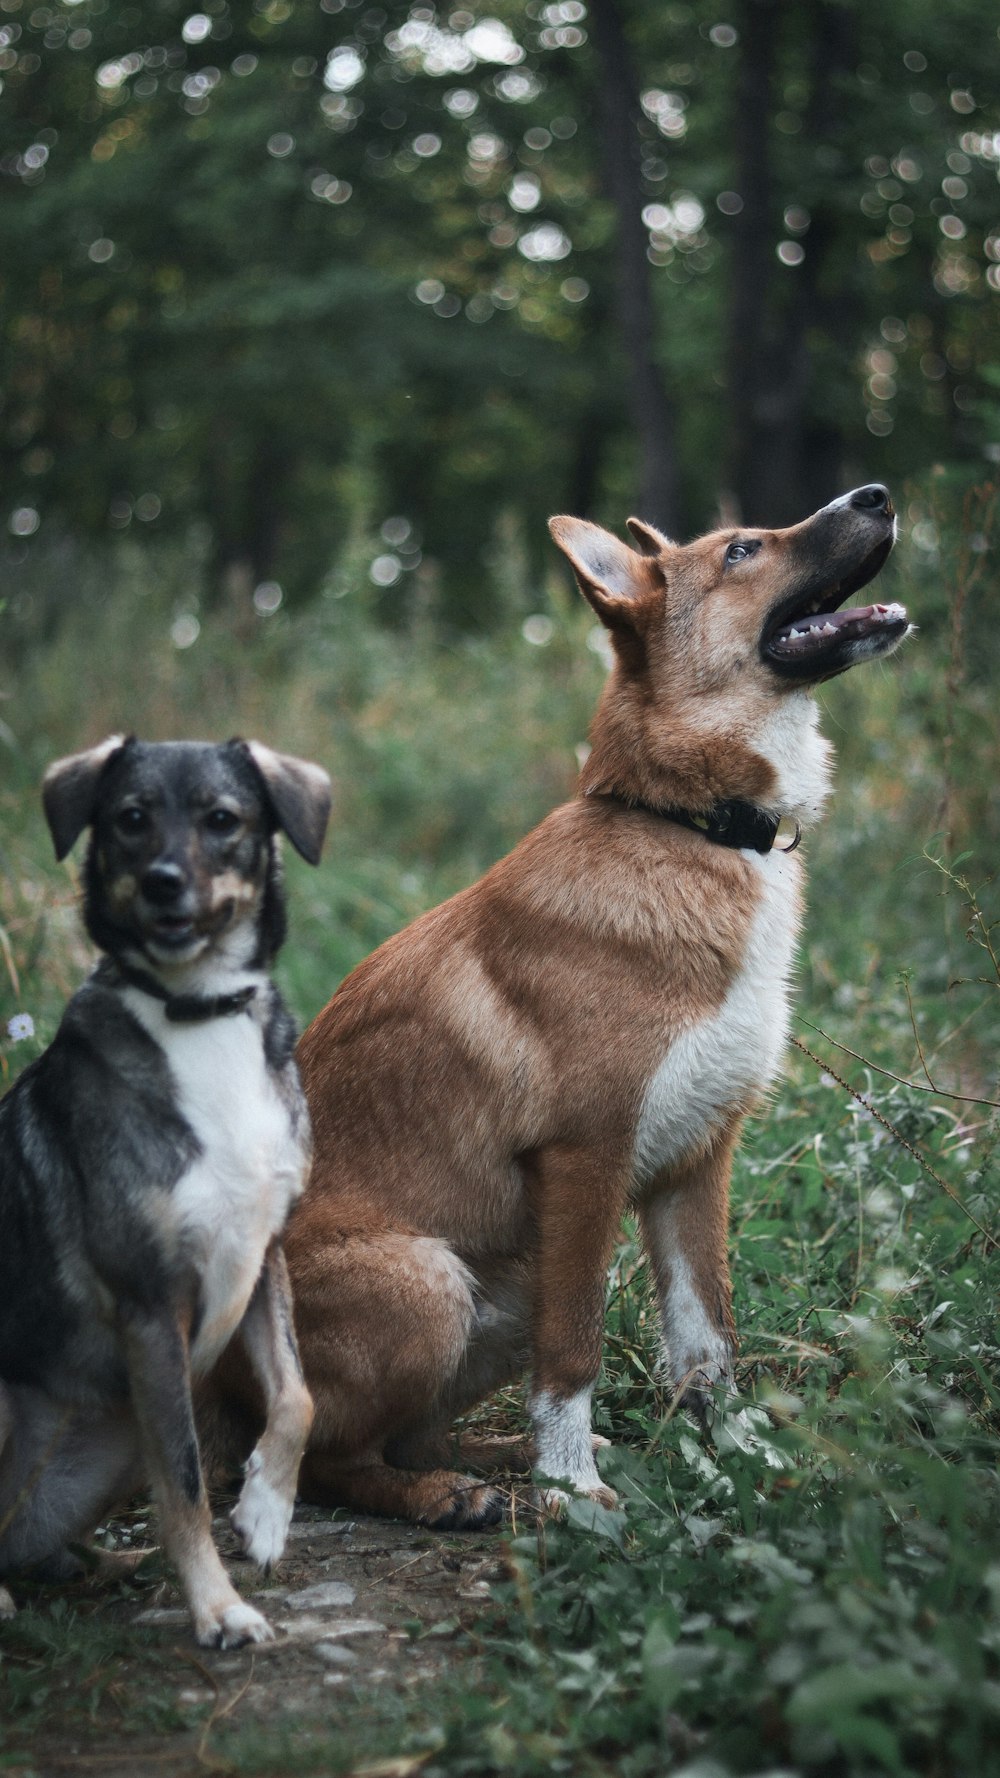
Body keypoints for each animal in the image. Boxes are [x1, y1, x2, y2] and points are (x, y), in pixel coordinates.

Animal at [1, 736, 332, 1649]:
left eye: (222, 819)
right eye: (130, 818)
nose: (162, 882)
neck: (200, 1013)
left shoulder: (261, 1255)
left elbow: (298, 1396)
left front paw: (265, 1513)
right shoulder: (152, 1308)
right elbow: (183, 1481)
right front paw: (217, 1609)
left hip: (109, 1443)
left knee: (26, 1541)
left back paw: (102, 1564)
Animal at [281, 487, 903, 1529]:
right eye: (743, 550)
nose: (878, 497)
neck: (690, 827)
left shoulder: (696, 1165)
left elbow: (709, 1340)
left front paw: (732, 1462)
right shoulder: (586, 1161)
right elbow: (575, 1351)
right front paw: (576, 1492)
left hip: (500, 1290)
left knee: (409, 1434)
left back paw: (488, 1463)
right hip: (428, 1281)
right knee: (319, 1460)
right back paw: (449, 1496)